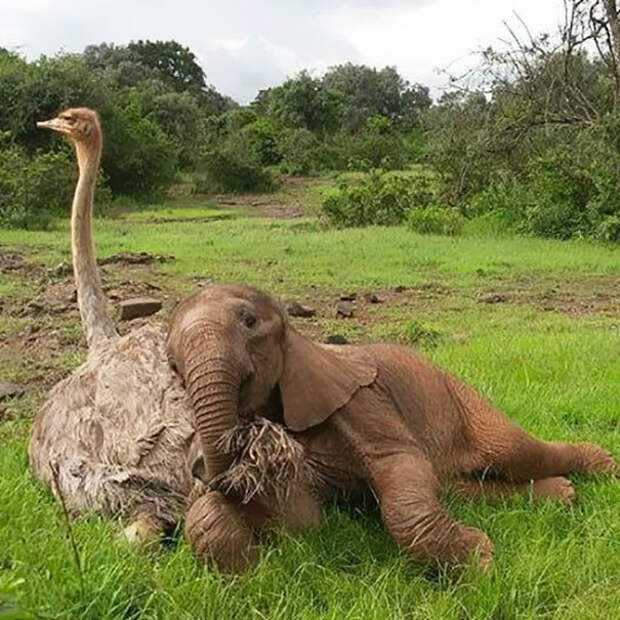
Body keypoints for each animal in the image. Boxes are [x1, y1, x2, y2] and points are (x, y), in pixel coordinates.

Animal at [167, 284, 616, 572]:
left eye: (249, 321)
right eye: (172, 362)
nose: (200, 469)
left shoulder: (362, 402)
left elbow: (400, 465)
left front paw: (481, 562)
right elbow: (302, 518)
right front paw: (248, 567)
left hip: (460, 399)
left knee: (515, 452)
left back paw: (602, 465)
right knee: (453, 484)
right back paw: (562, 493)